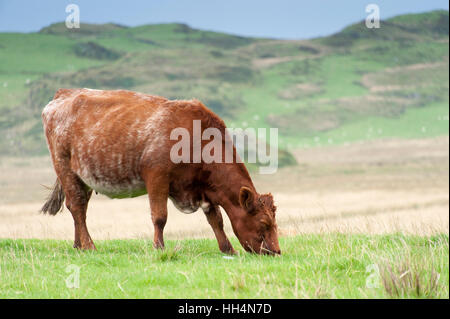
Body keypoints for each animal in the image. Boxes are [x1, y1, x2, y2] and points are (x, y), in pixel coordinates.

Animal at [42, 89, 282, 256]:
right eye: (264, 223)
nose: (276, 251)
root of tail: (64, 94)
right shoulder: (157, 177)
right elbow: (160, 217)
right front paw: (159, 247)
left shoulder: (204, 187)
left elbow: (216, 220)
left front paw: (227, 248)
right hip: (64, 167)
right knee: (77, 206)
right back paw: (89, 245)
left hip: (84, 176)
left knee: (79, 208)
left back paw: (78, 245)